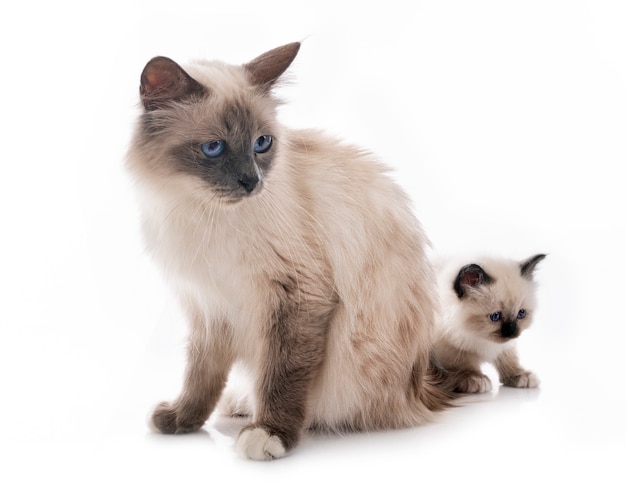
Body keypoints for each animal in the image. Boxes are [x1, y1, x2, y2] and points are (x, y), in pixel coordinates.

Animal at [125, 41, 448, 460]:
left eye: (261, 144)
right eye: (213, 148)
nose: (252, 182)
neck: (201, 212)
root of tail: (422, 388)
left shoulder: (298, 296)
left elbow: (283, 375)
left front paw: (270, 433)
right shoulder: (209, 307)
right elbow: (201, 375)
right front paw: (183, 419)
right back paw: (240, 406)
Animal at [432, 254, 544, 394]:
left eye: (521, 313)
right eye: (495, 316)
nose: (512, 332)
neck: (478, 337)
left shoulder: (504, 346)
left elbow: (508, 359)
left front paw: (519, 375)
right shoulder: (448, 346)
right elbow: (459, 364)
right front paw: (473, 377)